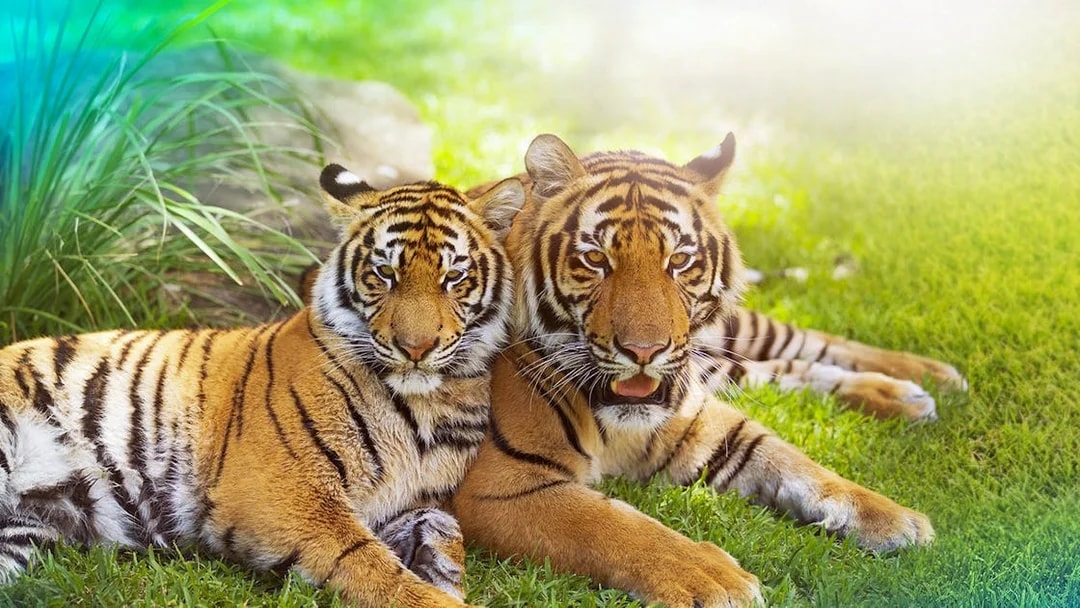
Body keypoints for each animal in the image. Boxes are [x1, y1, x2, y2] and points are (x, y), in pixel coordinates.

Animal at [0, 164, 526, 607]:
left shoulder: (405, 502)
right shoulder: (283, 490)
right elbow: (369, 564)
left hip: (21, 534)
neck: (430, 402)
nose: (415, 348)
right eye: (384, 273)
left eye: (453, 277)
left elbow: (444, 527)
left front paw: (441, 569)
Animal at [451, 133, 959, 607]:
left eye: (679, 260)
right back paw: (905, 393)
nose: (644, 351)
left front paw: (893, 517)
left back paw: (927, 376)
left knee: (798, 340)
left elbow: (794, 461)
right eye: (595, 259)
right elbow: (611, 523)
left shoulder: (697, 420)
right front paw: (713, 578)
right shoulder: (500, 485)